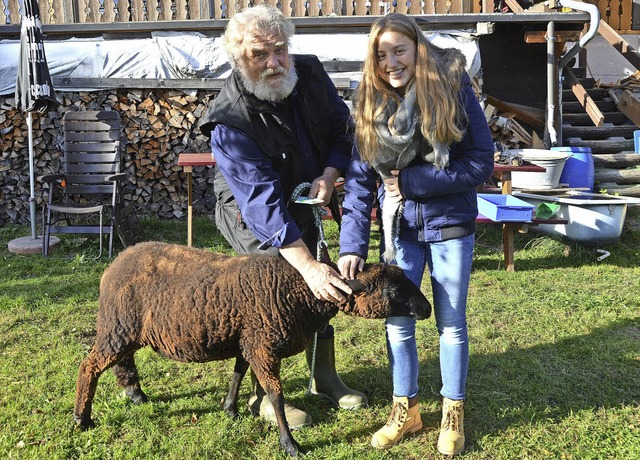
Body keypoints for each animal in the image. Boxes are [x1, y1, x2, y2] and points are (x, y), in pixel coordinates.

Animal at [75, 241, 432, 456]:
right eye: (391, 289)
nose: (426, 308)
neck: (300, 291)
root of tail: (113, 265)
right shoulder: (262, 347)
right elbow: (275, 395)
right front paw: (290, 444)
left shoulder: (248, 342)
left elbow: (237, 373)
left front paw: (230, 409)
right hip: (117, 327)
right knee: (89, 366)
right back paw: (82, 418)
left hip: (125, 330)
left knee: (123, 362)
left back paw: (136, 394)